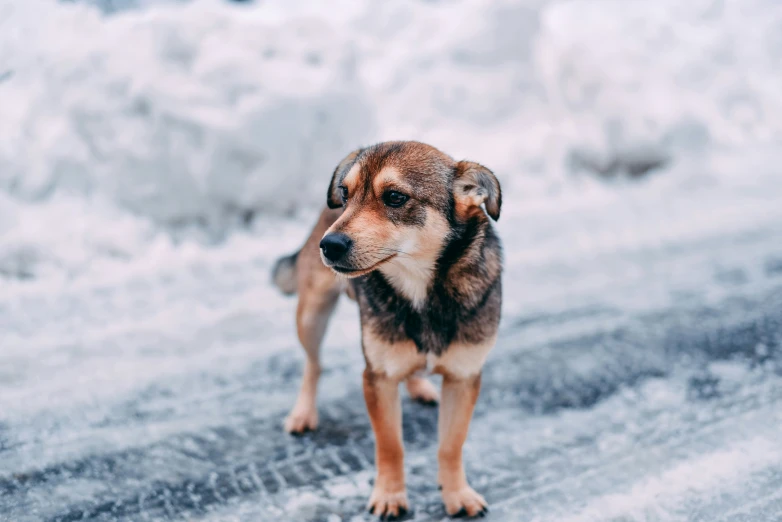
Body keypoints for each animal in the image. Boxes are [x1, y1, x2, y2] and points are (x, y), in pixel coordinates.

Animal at [272, 141, 506, 516]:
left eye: (395, 197)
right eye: (345, 193)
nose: (329, 244)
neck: (421, 291)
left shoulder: (464, 377)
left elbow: (451, 445)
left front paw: (457, 495)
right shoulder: (378, 378)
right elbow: (390, 445)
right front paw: (390, 497)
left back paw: (420, 386)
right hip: (311, 314)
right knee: (313, 364)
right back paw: (303, 413)